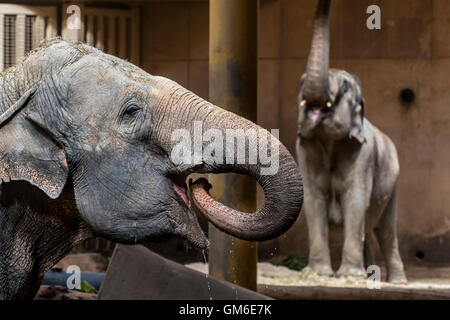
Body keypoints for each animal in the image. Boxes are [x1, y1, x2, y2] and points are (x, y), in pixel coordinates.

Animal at [298, 0, 406, 284]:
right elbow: (312, 200)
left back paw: (395, 281)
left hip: (394, 185)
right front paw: (321, 273)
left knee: (386, 230)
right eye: (301, 84)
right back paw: (369, 275)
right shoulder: (304, 150)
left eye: (345, 88)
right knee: (369, 230)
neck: (329, 143)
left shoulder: (363, 155)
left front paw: (347, 275)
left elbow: (355, 199)